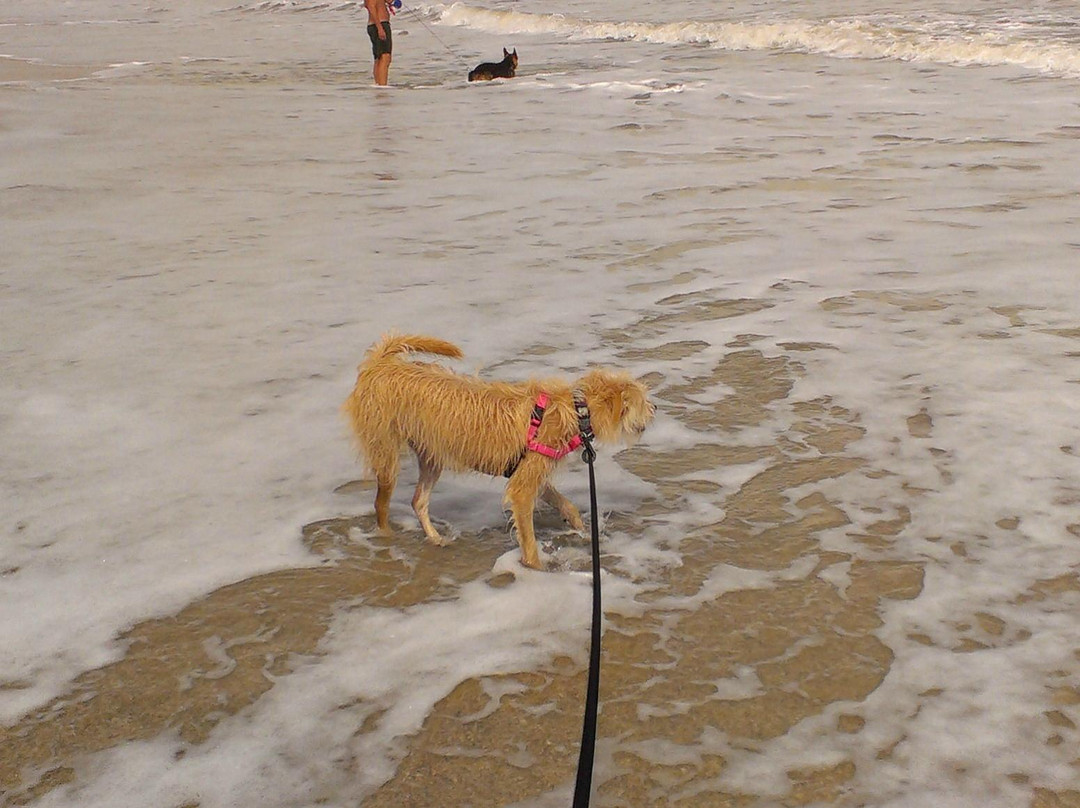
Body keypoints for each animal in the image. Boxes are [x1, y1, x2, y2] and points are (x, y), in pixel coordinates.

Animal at [341, 334, 652, 566]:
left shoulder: (532, 471)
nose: (656, 408)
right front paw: (535, 568)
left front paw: (582, 530)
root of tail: (381, 364)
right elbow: (529, 540)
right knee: (381, 504)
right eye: (642, 401)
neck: (576, 410)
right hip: (386, 454)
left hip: (432, 454)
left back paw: (435, 538)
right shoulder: (522, 488)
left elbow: (566, 504)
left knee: (418, 501)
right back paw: (385, 538)